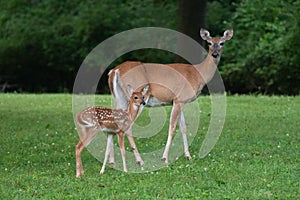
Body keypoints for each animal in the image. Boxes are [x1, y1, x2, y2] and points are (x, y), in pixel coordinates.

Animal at [108, 27, 234, 163]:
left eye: (222, 43)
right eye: (210, 43)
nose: (215, 54)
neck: (198, 74)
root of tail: (115, 71)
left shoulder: (180, 100)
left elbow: (183, 127)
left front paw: (188, 156)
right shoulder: (180, 99)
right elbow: (172, 127)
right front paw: (165, 158)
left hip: (119, 98)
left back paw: (112, 160)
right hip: (138, 97)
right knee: (129, 126)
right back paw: (139, 160)